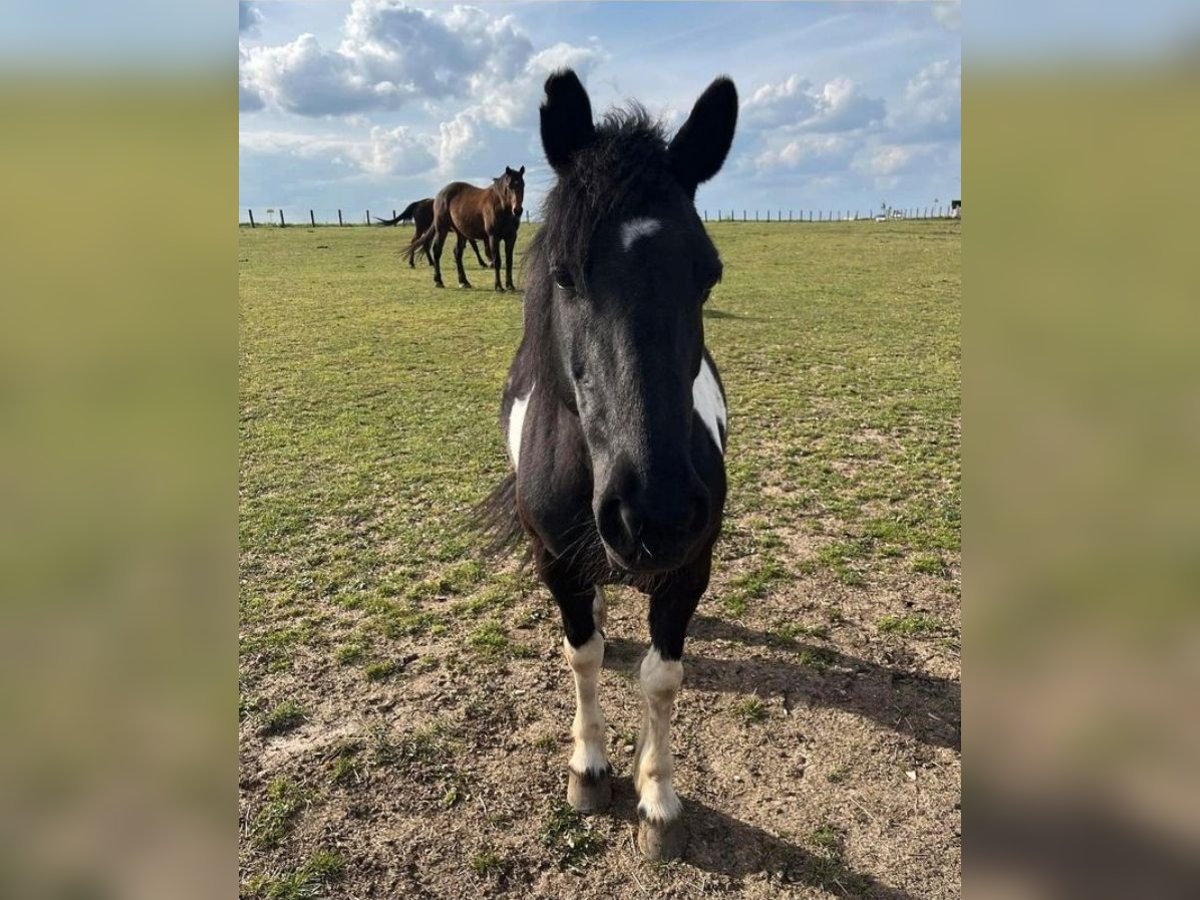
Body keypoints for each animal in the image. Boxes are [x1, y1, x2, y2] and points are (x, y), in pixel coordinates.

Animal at [482, 68, 734, 859]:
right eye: (565, 275)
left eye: (708, 276)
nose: (654, 511)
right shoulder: (555, 561)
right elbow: (583, 657)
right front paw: (589, 768)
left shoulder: (689, 568)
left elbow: (660, 678)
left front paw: (657, 798)